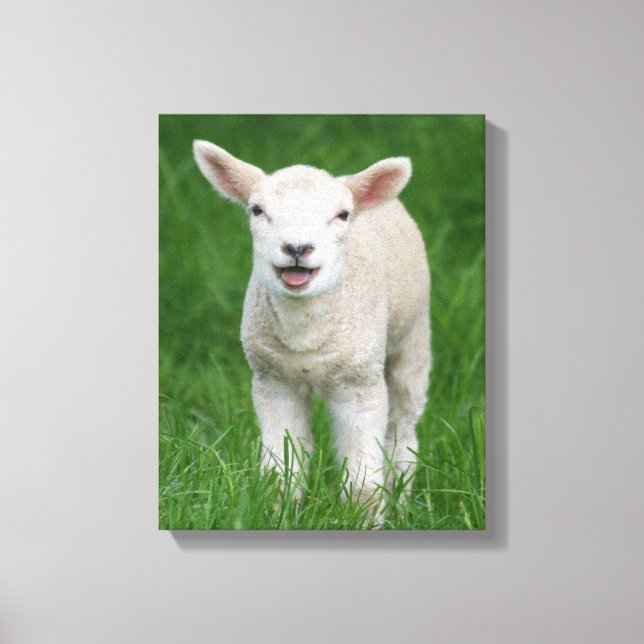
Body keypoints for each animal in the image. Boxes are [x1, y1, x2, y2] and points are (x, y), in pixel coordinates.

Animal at [193, 140, 431, 506]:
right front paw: (277, 511)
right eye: (257, 210)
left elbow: (363, 484)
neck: (303, 335)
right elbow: (281, 472)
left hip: (413, 338)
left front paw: (362, 517)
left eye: (342, 215)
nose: (297, 247)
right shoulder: (274, 381)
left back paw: (402, 501)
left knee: (403, 431)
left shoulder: (360, 384)